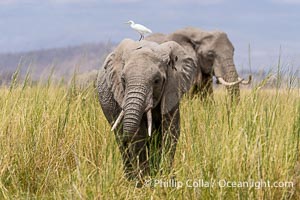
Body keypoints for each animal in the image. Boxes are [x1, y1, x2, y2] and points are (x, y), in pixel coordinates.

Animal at [96, 38, 197, 180]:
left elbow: (170, 132)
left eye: (157, 81)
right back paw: (130, 179)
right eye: (123, 80)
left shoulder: (172, 91)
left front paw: (164, 176)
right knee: (121, 142)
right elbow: (138, 136)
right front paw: (145, 180)